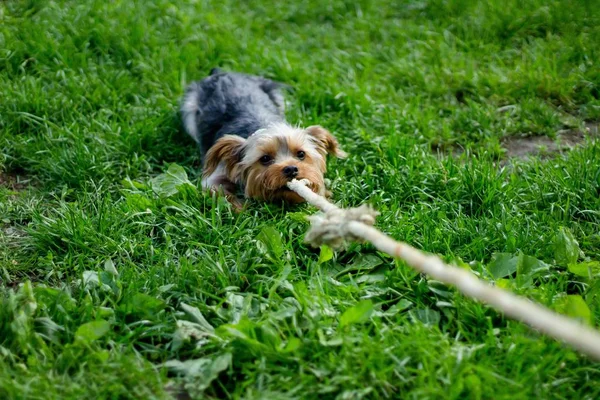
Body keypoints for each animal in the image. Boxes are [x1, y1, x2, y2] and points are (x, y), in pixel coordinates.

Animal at [179, 68, 346, 209]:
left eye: (301, 154)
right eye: (265, 158)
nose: (291, 169)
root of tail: (221, 73)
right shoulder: (215, 175)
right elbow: (218, 190)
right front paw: (241, 209)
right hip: (189, 108)